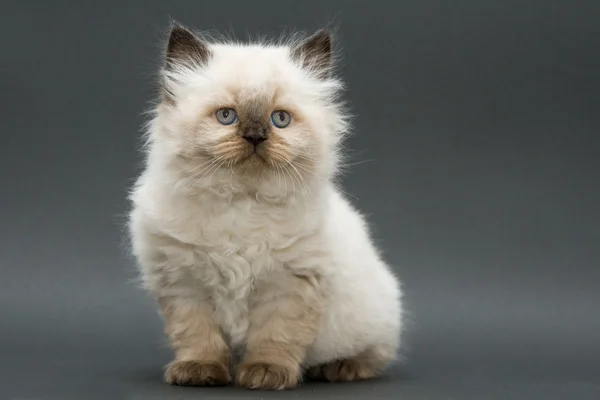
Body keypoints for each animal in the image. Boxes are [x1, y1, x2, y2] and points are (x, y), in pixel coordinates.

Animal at [129, 22, 406, 390]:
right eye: (227, 116)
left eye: (280, 120)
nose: (256, 136)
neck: (241, 205)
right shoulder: (184, 285)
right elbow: (199, 338)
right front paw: (199, 371)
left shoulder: (289, 284)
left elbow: (274, 338)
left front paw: (265, 374)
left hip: (374, 317)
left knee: (373, 355)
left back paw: (338, 368)